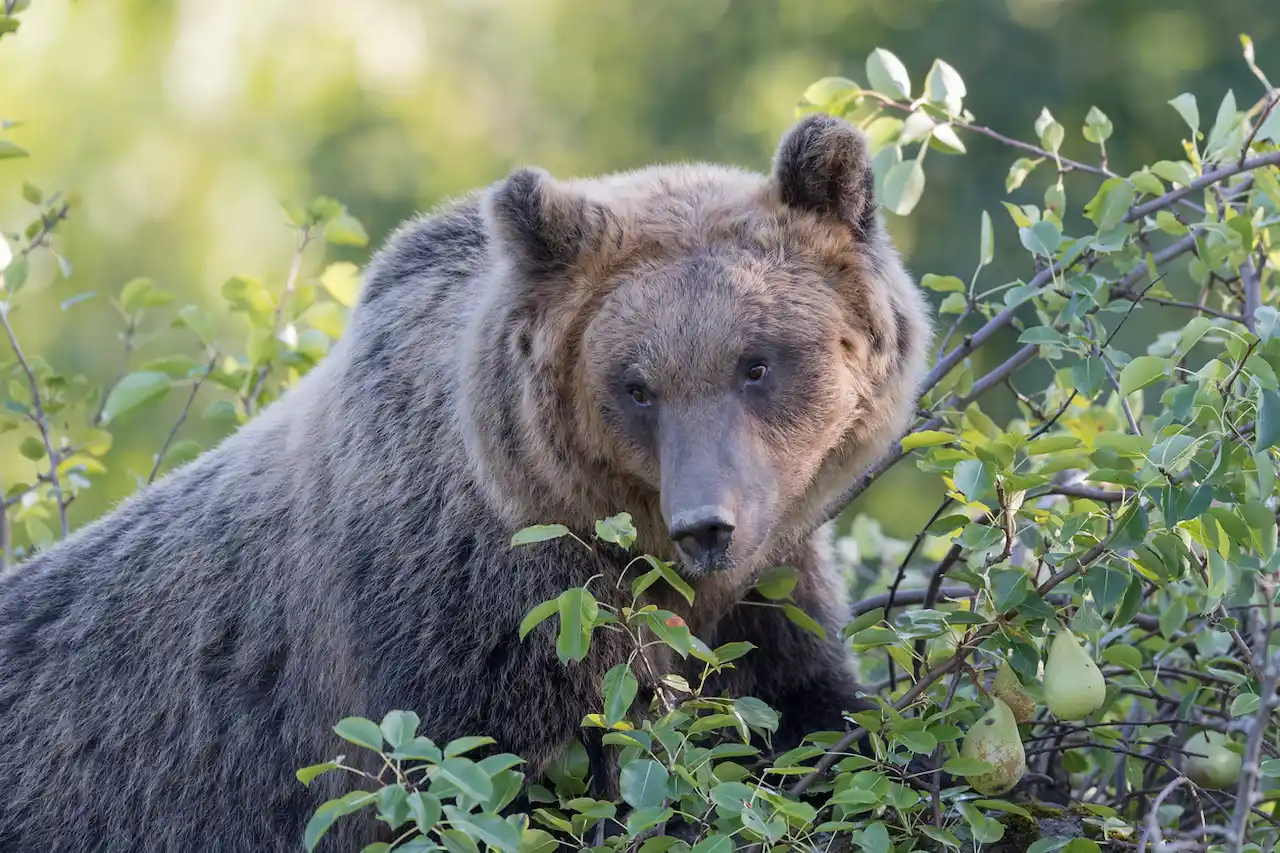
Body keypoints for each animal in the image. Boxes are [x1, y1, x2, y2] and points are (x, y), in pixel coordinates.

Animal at [0, 113, 931, 852]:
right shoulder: (480, 614)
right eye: (636, 385)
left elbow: (808, 721)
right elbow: (495, 780)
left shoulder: (765, 591)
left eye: (756, 362)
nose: (709, 523)